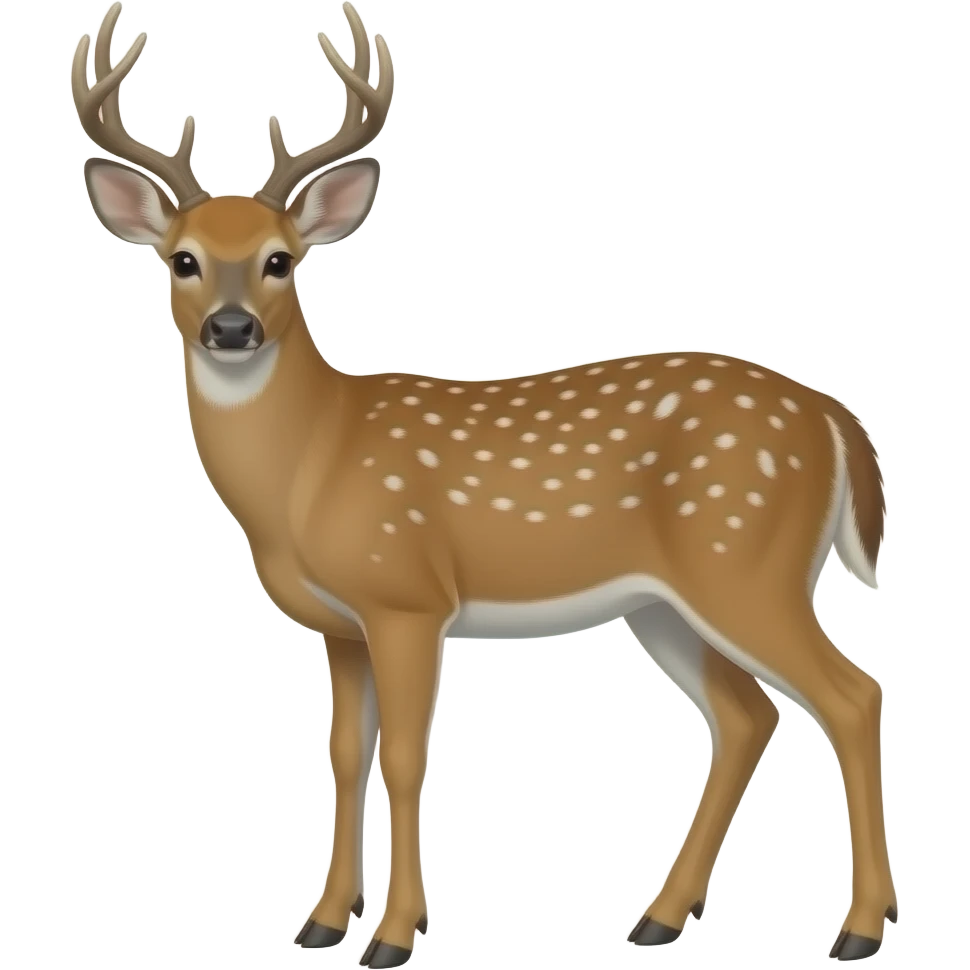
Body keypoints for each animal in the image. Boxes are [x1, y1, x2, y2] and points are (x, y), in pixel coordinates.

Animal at [71, 3, 896, 966]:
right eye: (182, 260)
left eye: (282, 260)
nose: (232, 329)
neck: (315, 462)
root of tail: (834, 417)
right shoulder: (341, 624)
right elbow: (343, 753)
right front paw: (322, 922)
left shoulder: (406, 597)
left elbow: (403, 756)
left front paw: (394, 934)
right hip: (666, 601)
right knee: (746, 717)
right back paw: (658, 916)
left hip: (746, 561)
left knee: (851, 695)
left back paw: (859, 927)